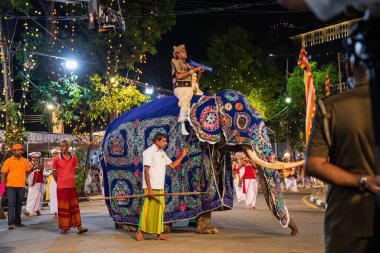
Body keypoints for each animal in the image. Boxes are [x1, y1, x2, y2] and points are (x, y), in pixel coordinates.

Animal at [101, 89, 302, 235]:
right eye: (242, 122)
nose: (293, 233)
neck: (209, 97)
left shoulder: (212, 149)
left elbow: (212, 185)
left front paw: (209, 230)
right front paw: (167, 227)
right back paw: (128, 226)